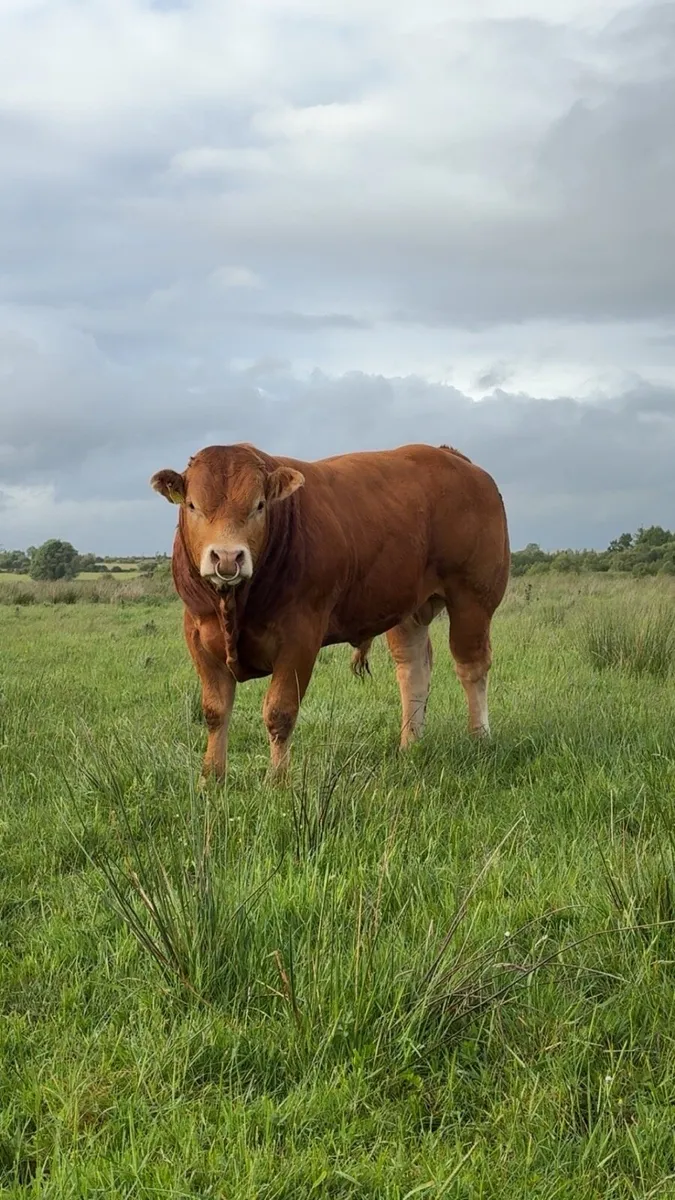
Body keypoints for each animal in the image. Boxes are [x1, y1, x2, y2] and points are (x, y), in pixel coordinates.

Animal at [150, 442, 509, 782]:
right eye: (192, 505)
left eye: (259, 505)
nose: (227, 558)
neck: (235, 603)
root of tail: (455, 459)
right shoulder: (197, 634)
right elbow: (215, 711)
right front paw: (211, 779)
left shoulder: (300, 638)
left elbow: (280, 712)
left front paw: (277, 782)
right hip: (408, 608)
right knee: (413, 668)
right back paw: (410, 744)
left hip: (473, 597)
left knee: (471, 666)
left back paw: (479, 738)